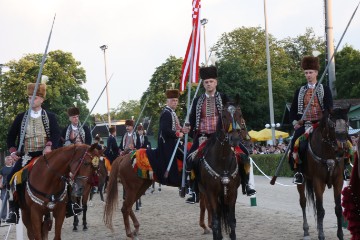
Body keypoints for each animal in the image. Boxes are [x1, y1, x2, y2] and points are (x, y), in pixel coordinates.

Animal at [296, 107, 350, 240]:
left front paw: (340, 235)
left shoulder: (338, 181)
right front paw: (321, 235)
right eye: (332, 125)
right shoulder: (318, 182)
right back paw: (306, 231)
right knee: (303, 202)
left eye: (347, 124)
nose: (342, 150)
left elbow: (338, 209)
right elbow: (320, 210)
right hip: (302, 181)